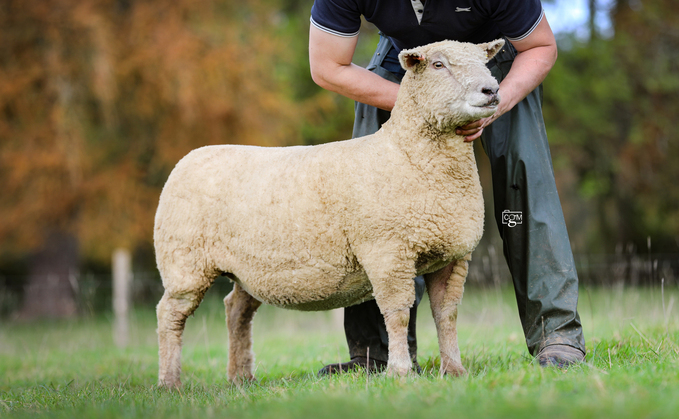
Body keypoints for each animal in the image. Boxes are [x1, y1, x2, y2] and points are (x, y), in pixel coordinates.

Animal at [154, 37, 504, 388]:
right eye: (438, 65)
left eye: (484, 61)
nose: (492, 90)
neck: (405, 153)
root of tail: (190, 157)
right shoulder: (388, 252)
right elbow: (397, 313)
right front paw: (399, 372)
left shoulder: (453, 255)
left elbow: (447, 313)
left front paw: (454, 370)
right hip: (185, 261)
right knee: (170, 314)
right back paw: (170, 383)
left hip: (246, 268)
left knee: (237, 309)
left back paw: (241, 377)